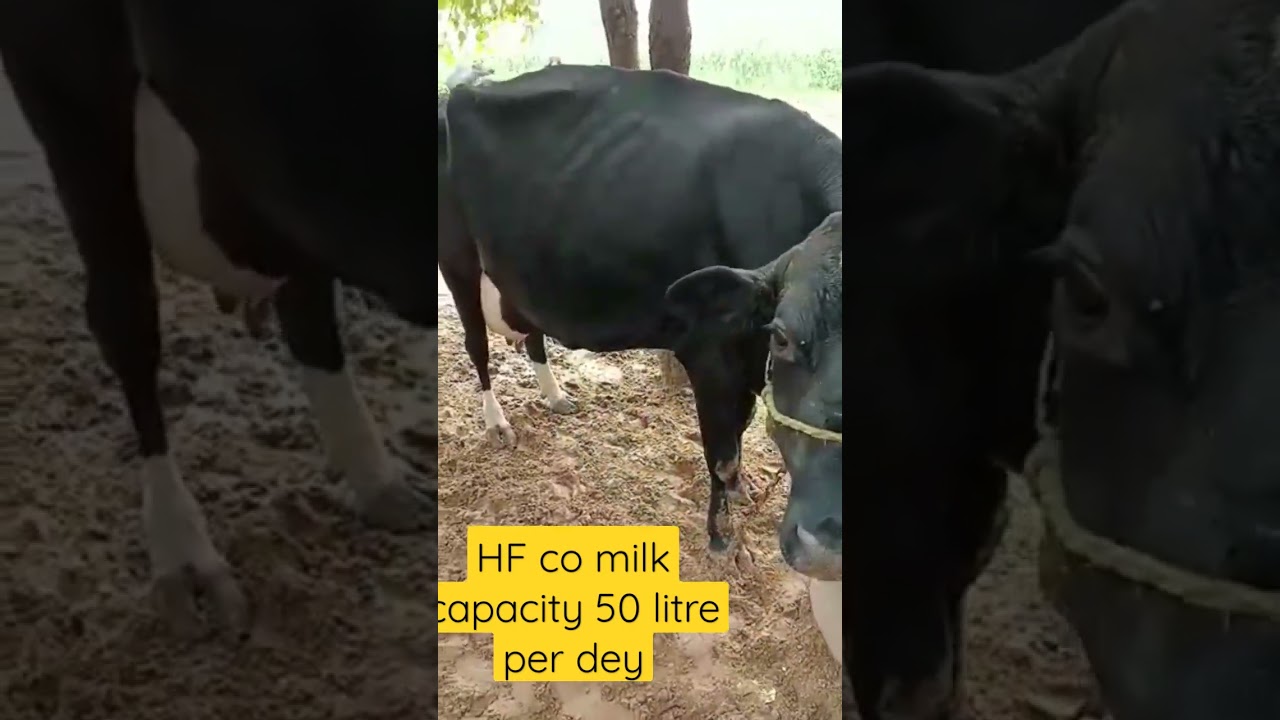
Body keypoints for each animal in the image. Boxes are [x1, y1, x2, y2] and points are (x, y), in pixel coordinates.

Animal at [437, 64, 843, 563]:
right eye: (783, 336)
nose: (824, 541)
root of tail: (460, 90)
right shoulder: (709, 349)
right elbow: (722, 453)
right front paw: (721, 537)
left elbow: (740, 430)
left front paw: (741, 493)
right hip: (457, 259)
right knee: (475, 344)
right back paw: (497, 424)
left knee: (531, 334)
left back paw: (555, 396)